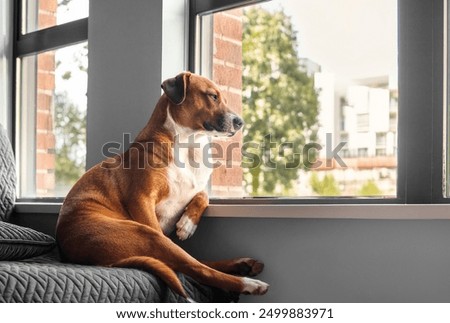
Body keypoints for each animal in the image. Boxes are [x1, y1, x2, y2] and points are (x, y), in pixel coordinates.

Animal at [55, 71, 268, 302]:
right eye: (212, 96)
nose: (240, 122)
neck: (188, 144)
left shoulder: (195, 188)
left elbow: (203, 195)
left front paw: (188, 223)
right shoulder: (141, 199)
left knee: (189, 262)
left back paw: (243, 265)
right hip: (147, 234)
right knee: (194, 267)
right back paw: (247, 283)